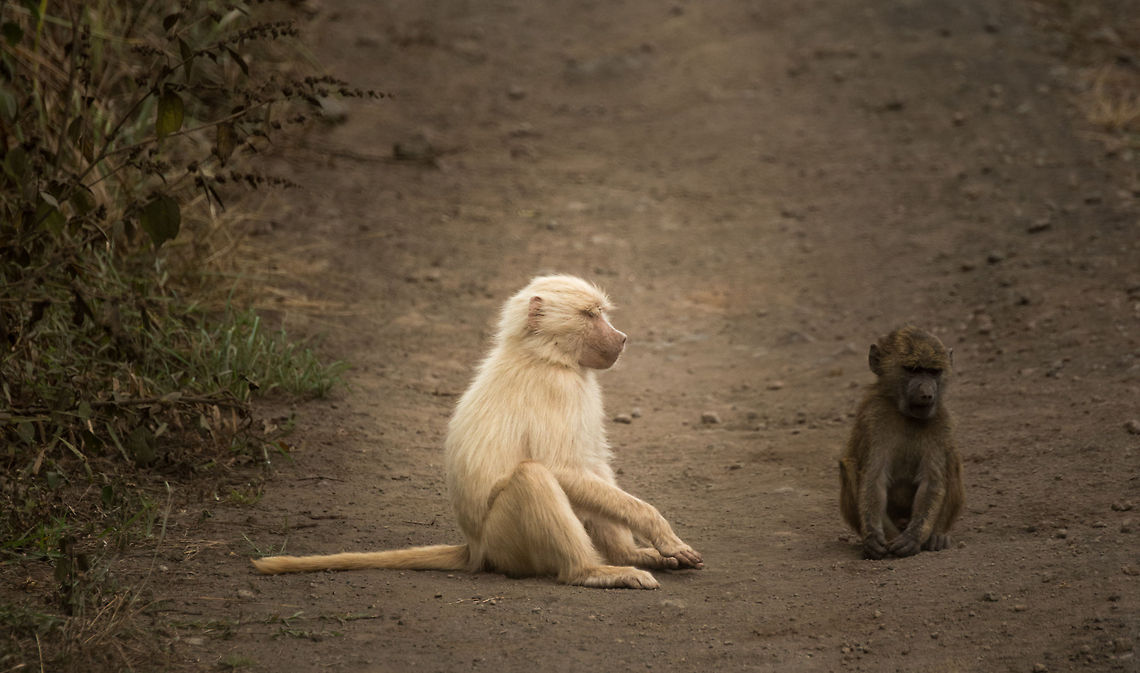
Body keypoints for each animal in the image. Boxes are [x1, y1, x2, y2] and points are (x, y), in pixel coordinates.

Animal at [252, 275, 703, 588]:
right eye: (590, 315)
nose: (622, 339)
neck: (543, 354)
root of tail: (474, 547)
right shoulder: (559, 387)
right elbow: (563, 468)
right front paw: (659, 532)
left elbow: (591, 467)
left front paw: (640, 549)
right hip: (508, 543)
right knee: (533, 477)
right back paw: (589, 571)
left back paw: (626, 557)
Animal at [838, 325, 964, 560]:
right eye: (912, 369)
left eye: (933, 372)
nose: (927, 394)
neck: (906, 416)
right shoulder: (875, 418)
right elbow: (874, 478)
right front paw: (875, 538)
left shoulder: (941, 422)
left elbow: (931, 482)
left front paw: (912, 538)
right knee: (847, 465)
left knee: (952, 462)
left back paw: (937, 536)